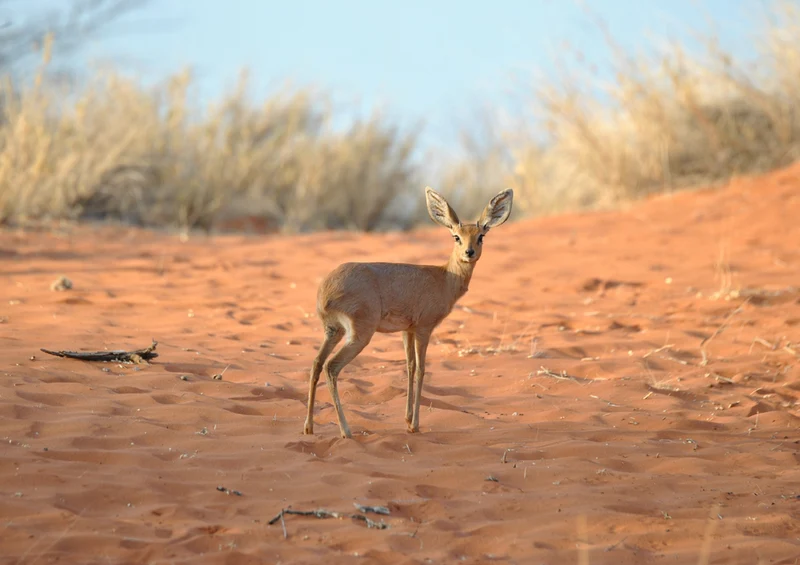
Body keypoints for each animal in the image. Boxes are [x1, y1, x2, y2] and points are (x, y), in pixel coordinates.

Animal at [303, 186, 514, 438]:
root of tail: (325, 290)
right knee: (331, 367)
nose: (469, 252)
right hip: (359, 334)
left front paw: (406, 419)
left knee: (316, 363)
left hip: (333, 331)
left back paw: (309, 427)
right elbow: (422, 369)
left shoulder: (407, 330)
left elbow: (410, 366)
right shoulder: (424, 328)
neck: (444, 278)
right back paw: (346, 430)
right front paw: (415, 425)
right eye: (456, 236)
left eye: (480, 235)